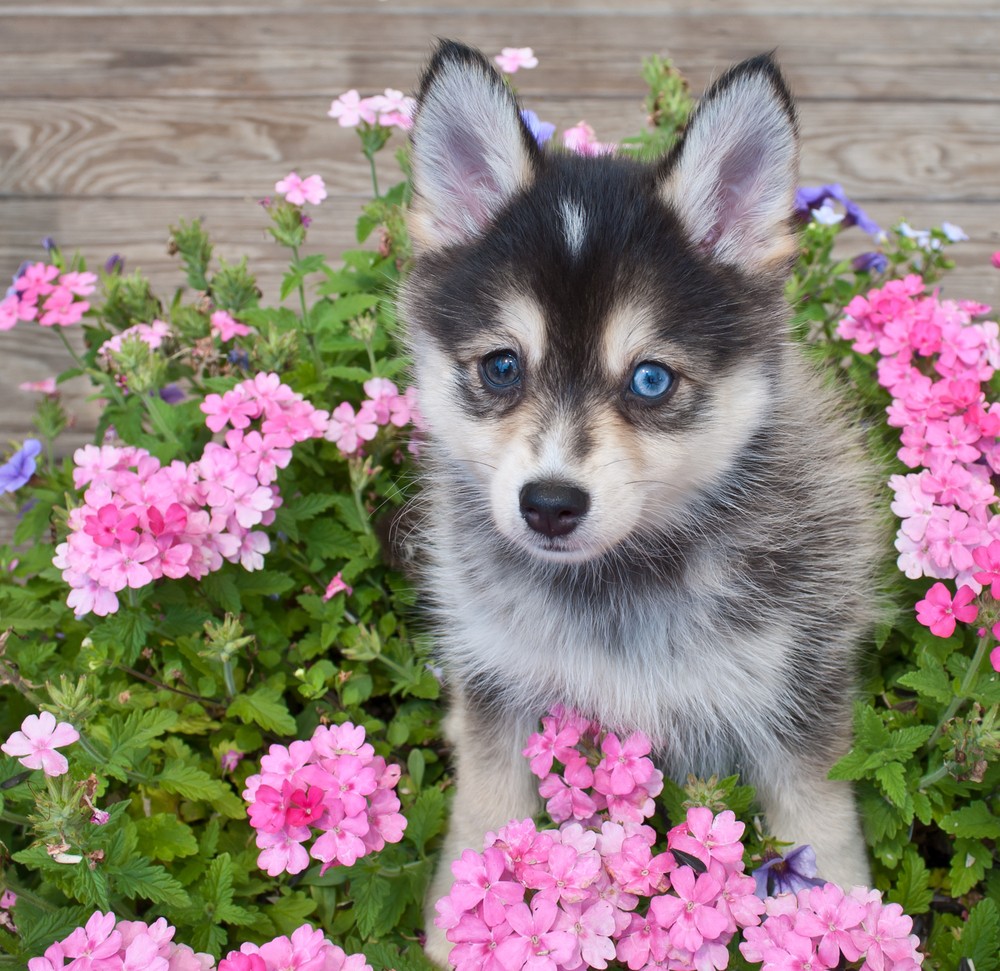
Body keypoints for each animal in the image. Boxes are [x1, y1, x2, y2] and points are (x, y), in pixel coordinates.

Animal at [396, 39, 876, 964]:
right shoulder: (499, 677)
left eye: (651, 379)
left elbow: (822, 820)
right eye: (501, 366)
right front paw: (459, 926)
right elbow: (487, 810)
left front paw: (851, 921)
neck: (617, 587)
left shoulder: (796, 687)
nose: (549, 503)